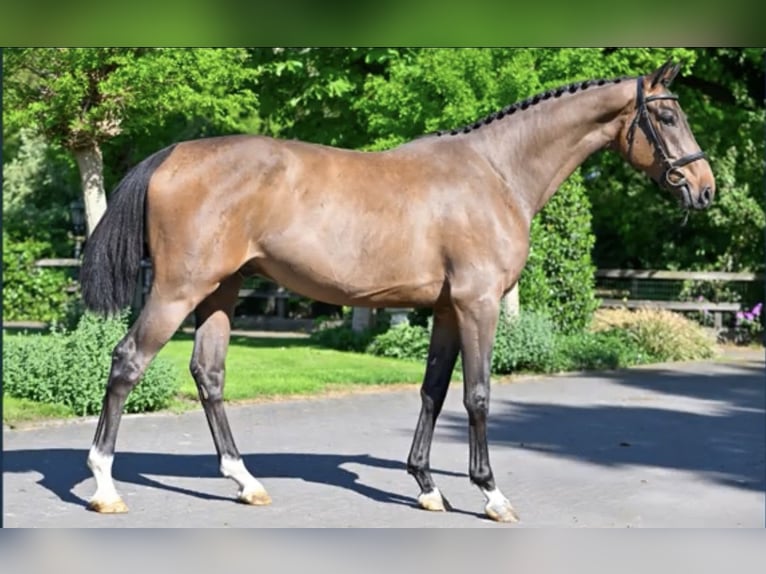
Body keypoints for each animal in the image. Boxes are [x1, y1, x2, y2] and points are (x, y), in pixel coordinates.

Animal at [80, 60, 714, 522]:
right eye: (668, 116)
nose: (704, 188)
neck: (496, 171)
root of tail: (175, 153)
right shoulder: (478, 305)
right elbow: (477, 395)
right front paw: (490, 494)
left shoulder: (447, 309)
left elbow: (433, 390)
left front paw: (428, 486)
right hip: (178, 290)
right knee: (127, 361)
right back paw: (105, 486)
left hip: (220, 290)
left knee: (208, 374)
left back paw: (245, 481)